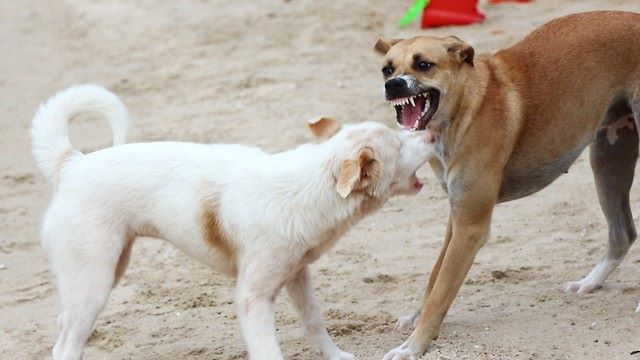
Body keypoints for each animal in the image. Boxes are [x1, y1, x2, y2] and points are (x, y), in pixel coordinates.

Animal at [32, 85, 436, 360]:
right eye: (398, 146)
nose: (432, 134)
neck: (311, 182)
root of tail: (73, 163)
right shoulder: (252, 298)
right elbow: (269, 350)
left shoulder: (296, 275)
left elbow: (315, 322)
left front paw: (335, 356)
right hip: (95, 282)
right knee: (66, 345)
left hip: (105, 271)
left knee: (64, 331)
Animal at [376, 9, 640, 358]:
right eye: (387, 68)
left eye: (423, 64)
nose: (393, 85)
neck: (466, 109)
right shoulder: (457, 218)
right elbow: (435, 278)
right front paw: (417, 321)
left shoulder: (470, 228)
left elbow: (441, 290)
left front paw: (413, 345)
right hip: (608, 159)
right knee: (623, 233)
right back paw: (590, 282)